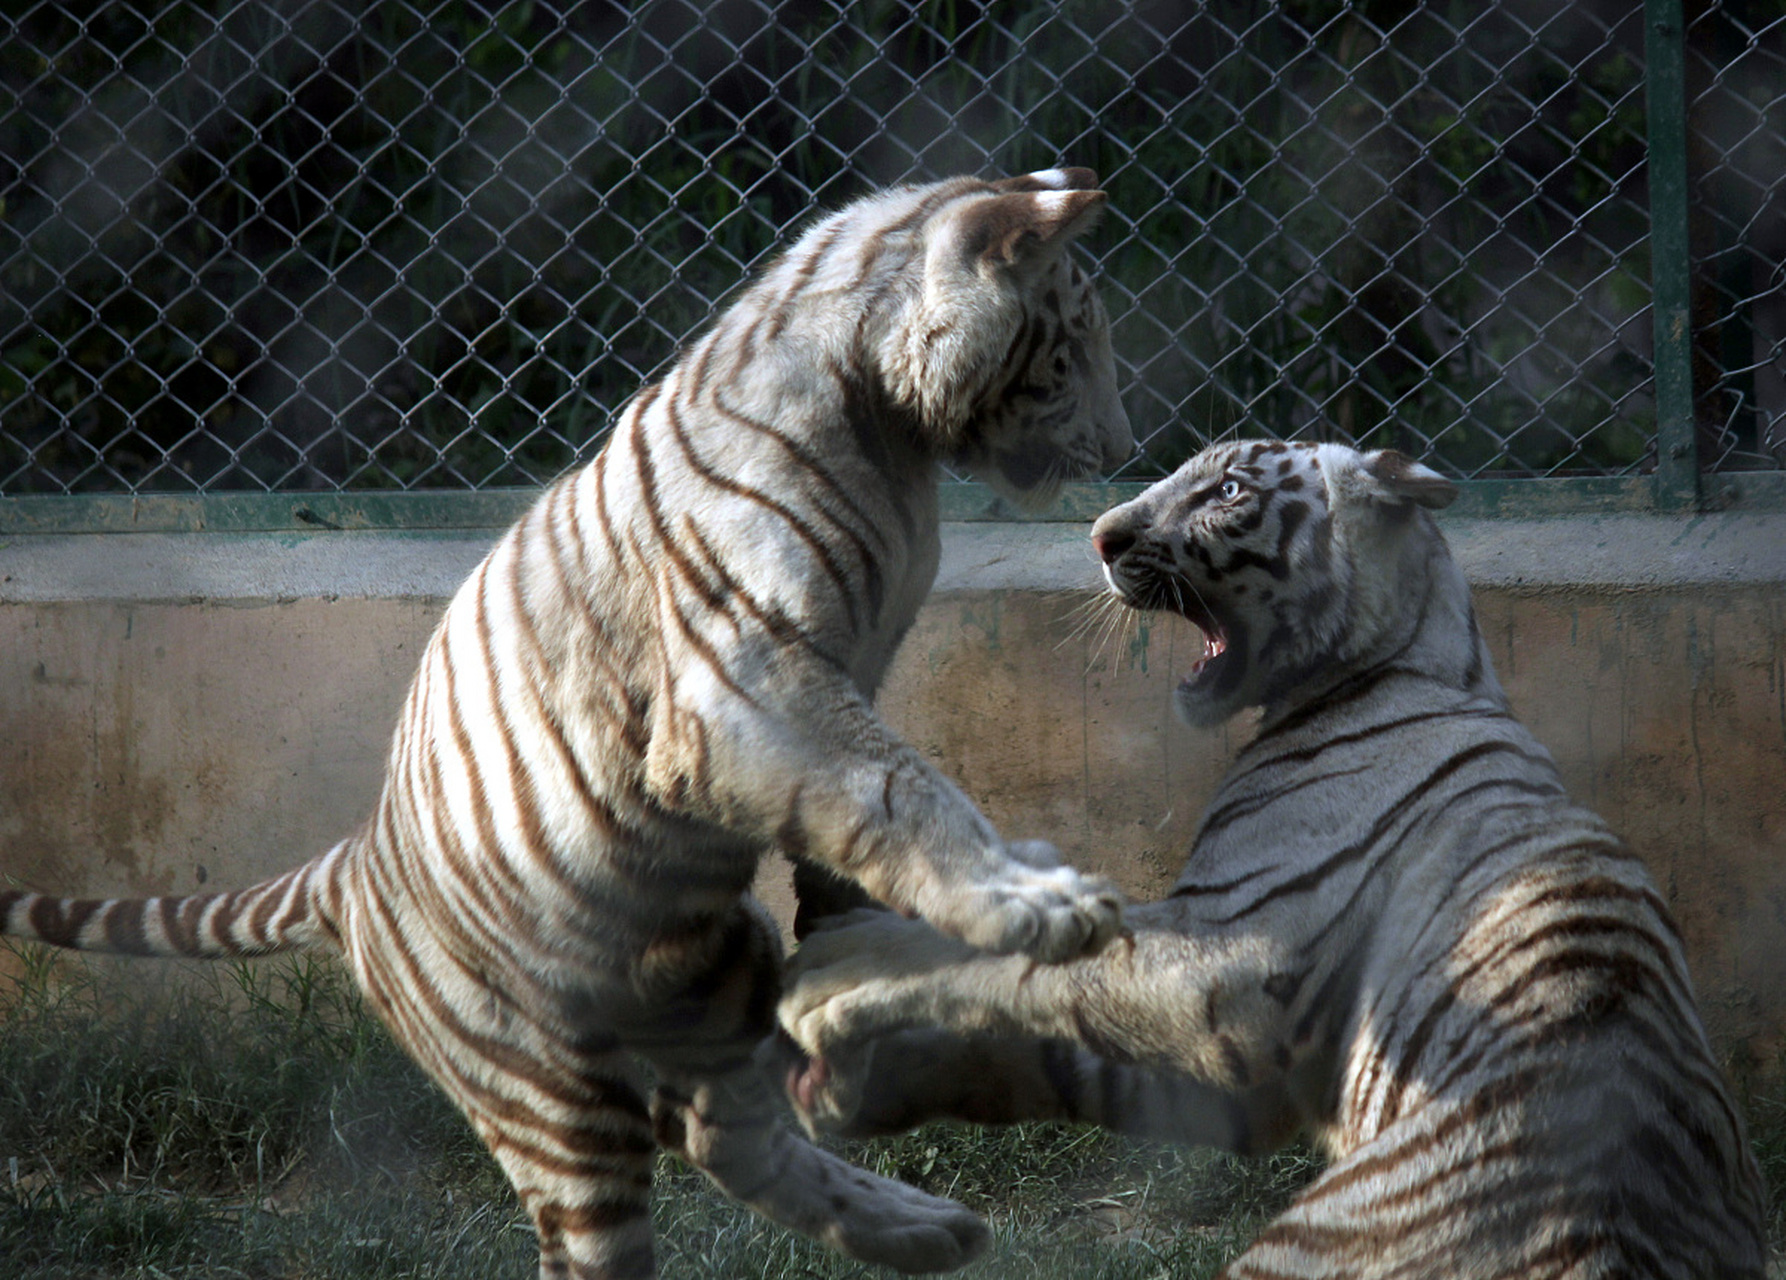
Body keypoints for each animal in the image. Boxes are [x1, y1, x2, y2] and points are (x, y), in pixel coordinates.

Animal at [0, 170, 1133, 1280]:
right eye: (1078, 330)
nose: (1122, 446)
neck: (892, 429)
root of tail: (353, 864)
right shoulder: (749, 677)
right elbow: (900, 787)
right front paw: (1037, 900)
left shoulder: (851, 673)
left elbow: (864, 803)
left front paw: (875, 929)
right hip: (548, 1090)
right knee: (609, 1214)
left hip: (717, 960)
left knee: (726, 1132)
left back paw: (922, 1226)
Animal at [776, 438, 1768, 1278]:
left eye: (1226, 491)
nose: (1099, 533)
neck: (1410, 660)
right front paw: (852, 1087)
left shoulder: (1224, 962)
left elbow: (1018, 970)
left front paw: (837, 987)